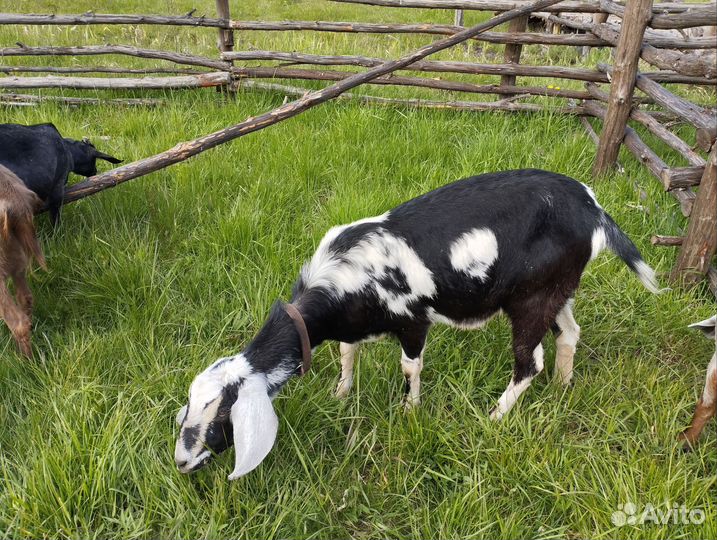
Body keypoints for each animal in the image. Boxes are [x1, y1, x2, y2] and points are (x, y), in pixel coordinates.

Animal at [174, 169, 661, 479]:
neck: (340, 281)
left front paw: (410, 412)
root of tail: (593, 209)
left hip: (531, 300)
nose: (181, 461)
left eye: (221, 416)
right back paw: (563, 386)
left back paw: (493, 417)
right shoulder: (355, 324)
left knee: (528, 363)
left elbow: (410, 366)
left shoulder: (413, 319)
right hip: (558, 289)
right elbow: (347, 351)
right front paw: (341, 393)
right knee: (570, 335)